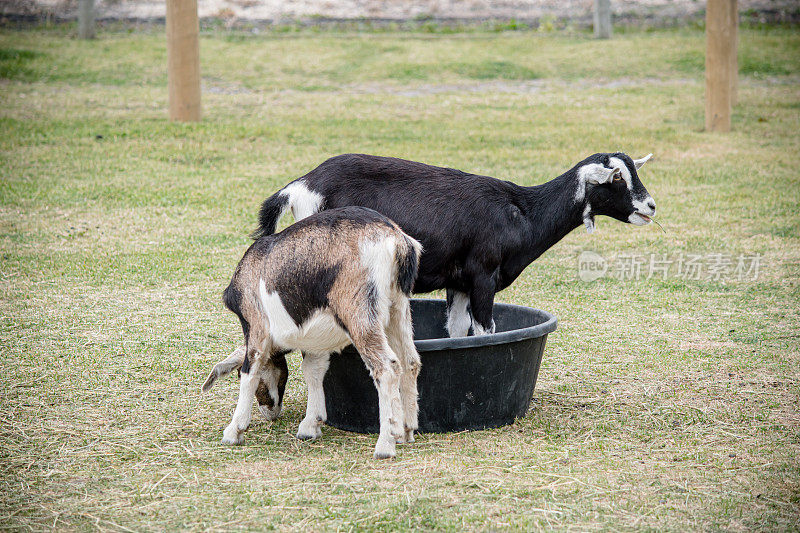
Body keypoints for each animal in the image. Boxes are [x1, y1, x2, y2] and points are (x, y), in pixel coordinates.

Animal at [203, 207, 422, 458]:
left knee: (387, 368)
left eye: (237, 374)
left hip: (358, 312)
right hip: (397, 307)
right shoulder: (316, 341)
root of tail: (396, 239)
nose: (270, 412)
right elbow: (313, 370)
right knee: (410, 361)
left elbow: (253, 368)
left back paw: (386, 443)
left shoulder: (256, 323)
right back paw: (407, 430)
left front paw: (234, 430)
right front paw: (310, 425)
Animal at [253, 154, 652, 334]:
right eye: (617, 177)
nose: (649, 206)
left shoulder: (458, 282)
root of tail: (300, 186)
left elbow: (458, 331)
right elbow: (486, 330)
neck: (522, 210)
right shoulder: (483, 276)